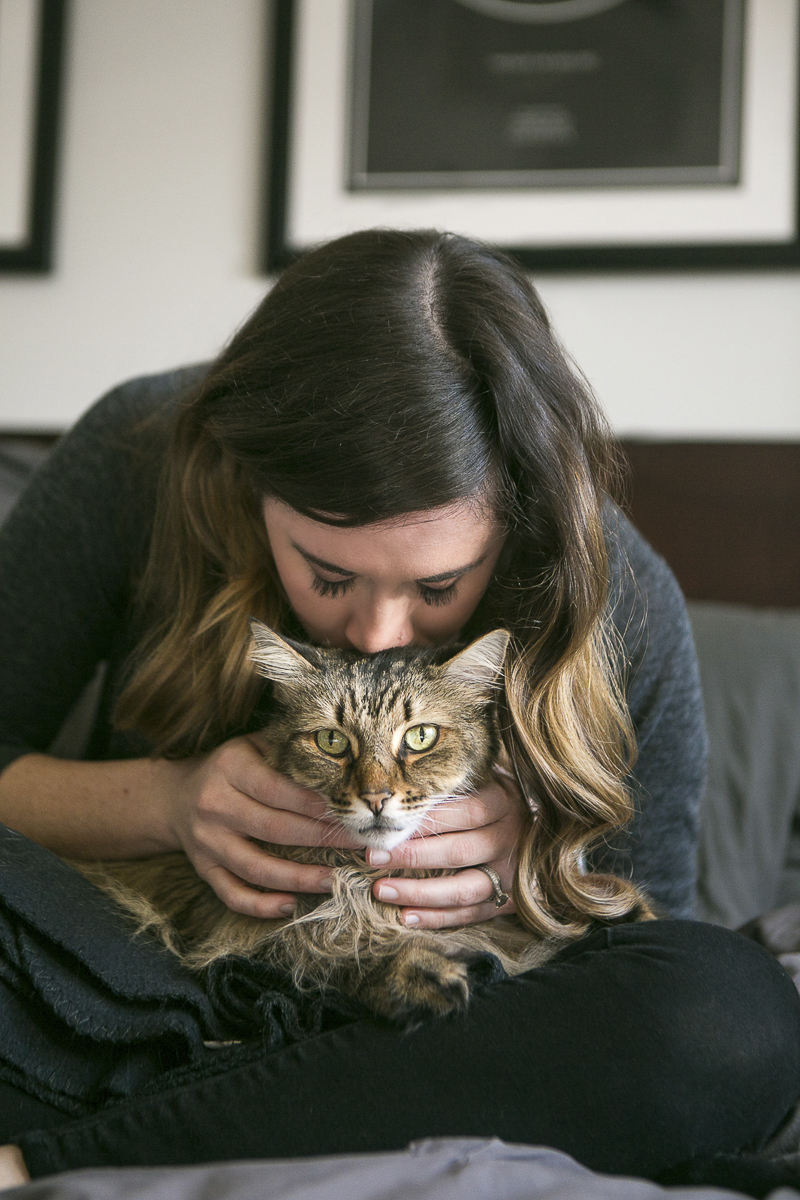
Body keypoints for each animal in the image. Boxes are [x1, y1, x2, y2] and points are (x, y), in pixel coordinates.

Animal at [74, 624, 566, 1027]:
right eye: (332, 741)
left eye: (420, 737)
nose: (376, 798)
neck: (362, 879)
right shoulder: (248, 932)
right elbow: (329, 952)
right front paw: (410, 971)